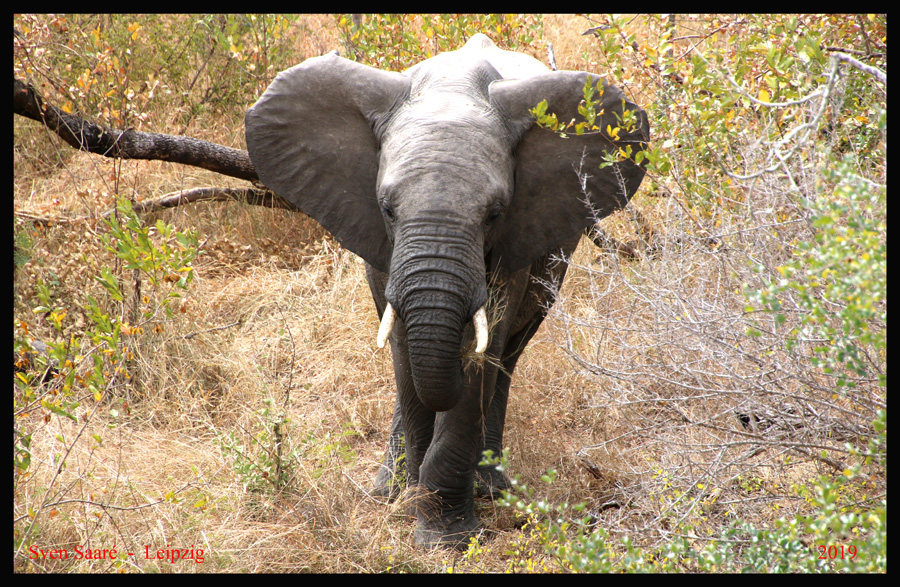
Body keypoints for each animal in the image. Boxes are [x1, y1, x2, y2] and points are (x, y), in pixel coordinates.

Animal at [246, 31, 648, 548]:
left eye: (495, 213)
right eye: (387, 208)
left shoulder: (517, 237)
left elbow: (482, 354)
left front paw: (444, 537)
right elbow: (403, 349)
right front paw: (410, 505)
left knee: (508, 356)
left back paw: (490, 487)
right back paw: (391, 489)